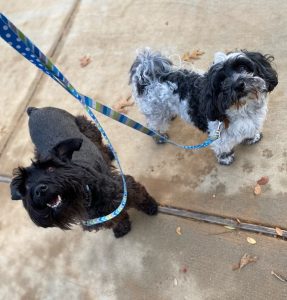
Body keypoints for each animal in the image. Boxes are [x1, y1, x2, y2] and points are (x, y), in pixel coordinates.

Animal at [10, 106, 159, 238]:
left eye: (51, 168)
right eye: (26, 186)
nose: (39, 190)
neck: (86, 196)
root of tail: (34, 111)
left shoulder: (126, 188)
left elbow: (141, 197)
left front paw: (151, 206)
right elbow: (114, 220)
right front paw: (122, 227)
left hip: (88, 128)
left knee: (99, 144)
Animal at [130, 50, 280, 165]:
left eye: (242, 68)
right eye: (221, 81)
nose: (239, 85)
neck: (243, 109)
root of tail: (149, 76)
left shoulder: (253, 122)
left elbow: (251, 131)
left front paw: (253, 137)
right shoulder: (218, 136)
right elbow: (222, 148)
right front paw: (226, 158)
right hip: (156, 112)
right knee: (153, 125)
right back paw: (160, 136)